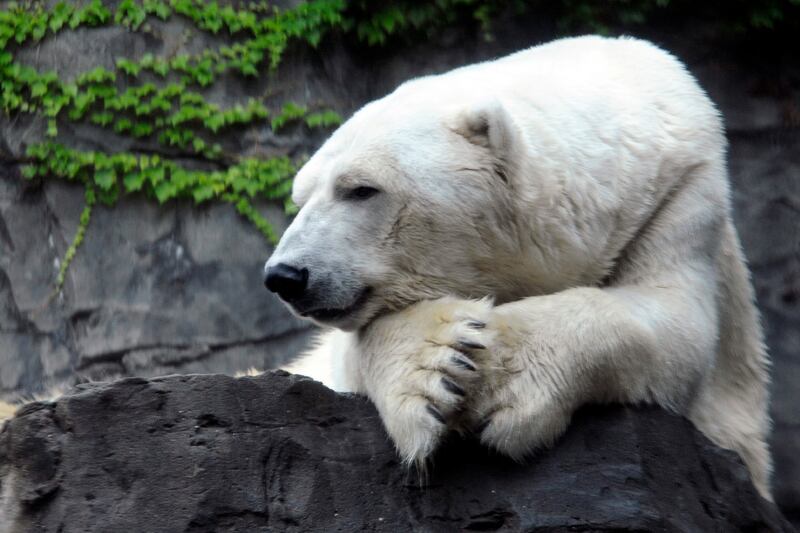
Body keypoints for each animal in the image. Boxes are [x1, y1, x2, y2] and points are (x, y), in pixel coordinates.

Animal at [263, 35, 772, 499]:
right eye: (301, 198)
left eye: (361, 189)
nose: (285, 276)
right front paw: (441, 366)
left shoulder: (678, 197)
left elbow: (676, 326)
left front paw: (503, 375)